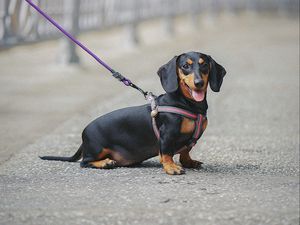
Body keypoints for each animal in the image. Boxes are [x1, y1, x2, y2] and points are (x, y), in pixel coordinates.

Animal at [40, 51, 225, 175]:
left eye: (204, 65)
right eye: (185, 66)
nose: (199, 83)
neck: (188, 104)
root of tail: (84, 135)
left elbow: (186, 151)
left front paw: (189, 162)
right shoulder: (167, 135)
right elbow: (167, 153)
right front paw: (171, 167)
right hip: (97, 148)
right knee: (84, 162)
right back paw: (105, 163)